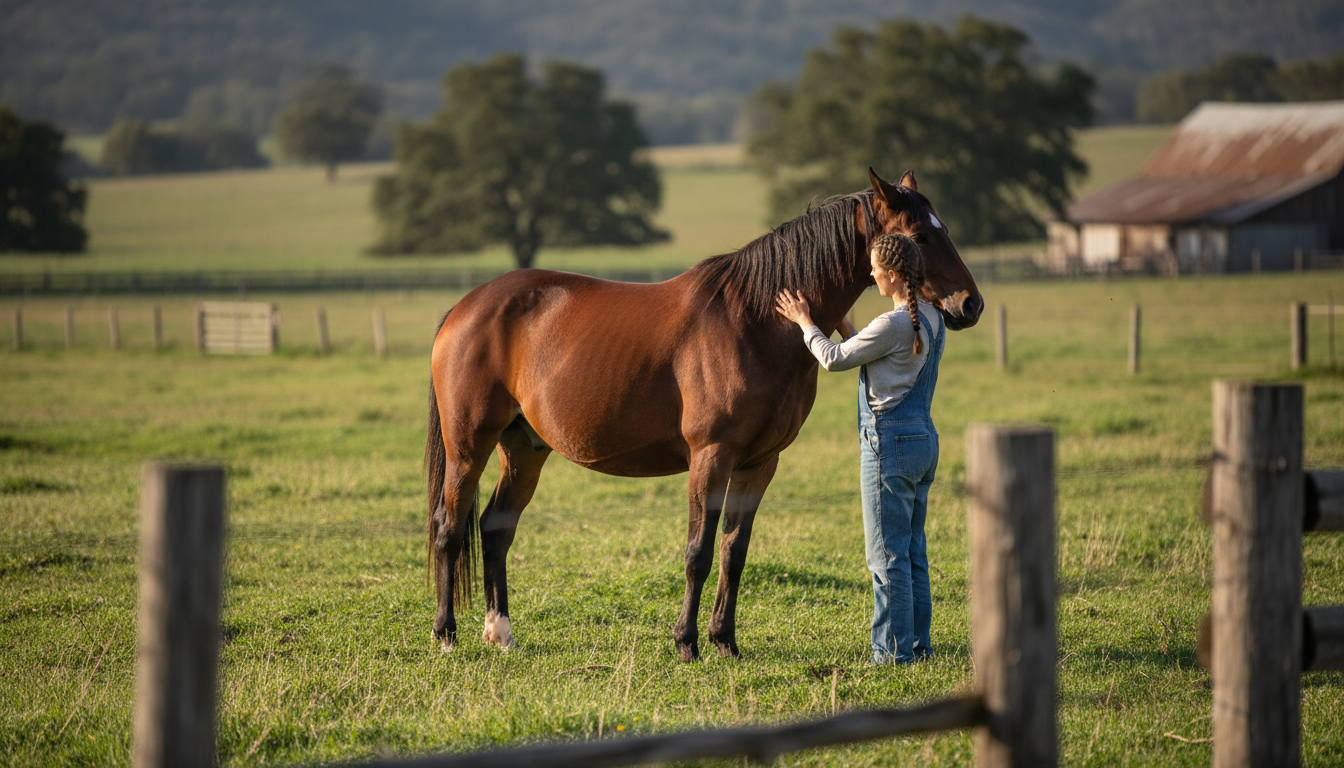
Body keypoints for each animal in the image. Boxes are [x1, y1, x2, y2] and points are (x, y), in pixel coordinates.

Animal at [426, 168, 983, 662]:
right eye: (919, 236)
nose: (970, 305)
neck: (754, 321)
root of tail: (465, 307)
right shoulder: (710, 457)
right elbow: (698, 551)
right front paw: (687, 643)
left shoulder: (759, 464)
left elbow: (734, 553)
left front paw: (724, 641)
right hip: (468, 447)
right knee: (449, 528)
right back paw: (446, 634)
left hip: (524, 448)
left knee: (496, 527)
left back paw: (500, 633)